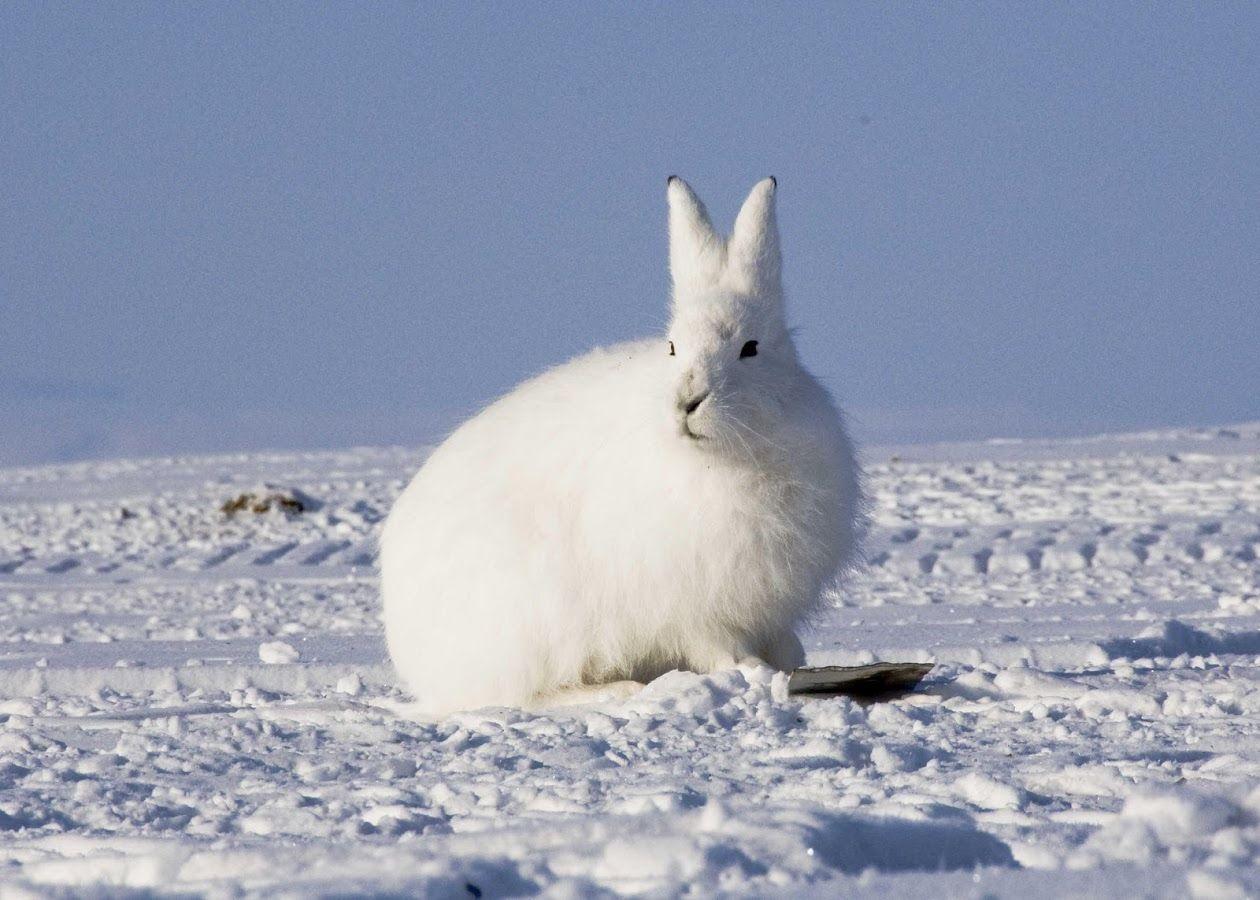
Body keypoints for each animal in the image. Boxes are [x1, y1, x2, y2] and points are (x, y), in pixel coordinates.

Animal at [380, 176, 863, 714]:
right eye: (672, 347)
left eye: (751, 349)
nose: (687, 402)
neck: (722, 456)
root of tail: (415, 654)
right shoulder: (689, 602)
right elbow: (715, 646)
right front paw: (751, 672)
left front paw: (789, 661)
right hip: (536, 615)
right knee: (526, 693)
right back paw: (619, 689)